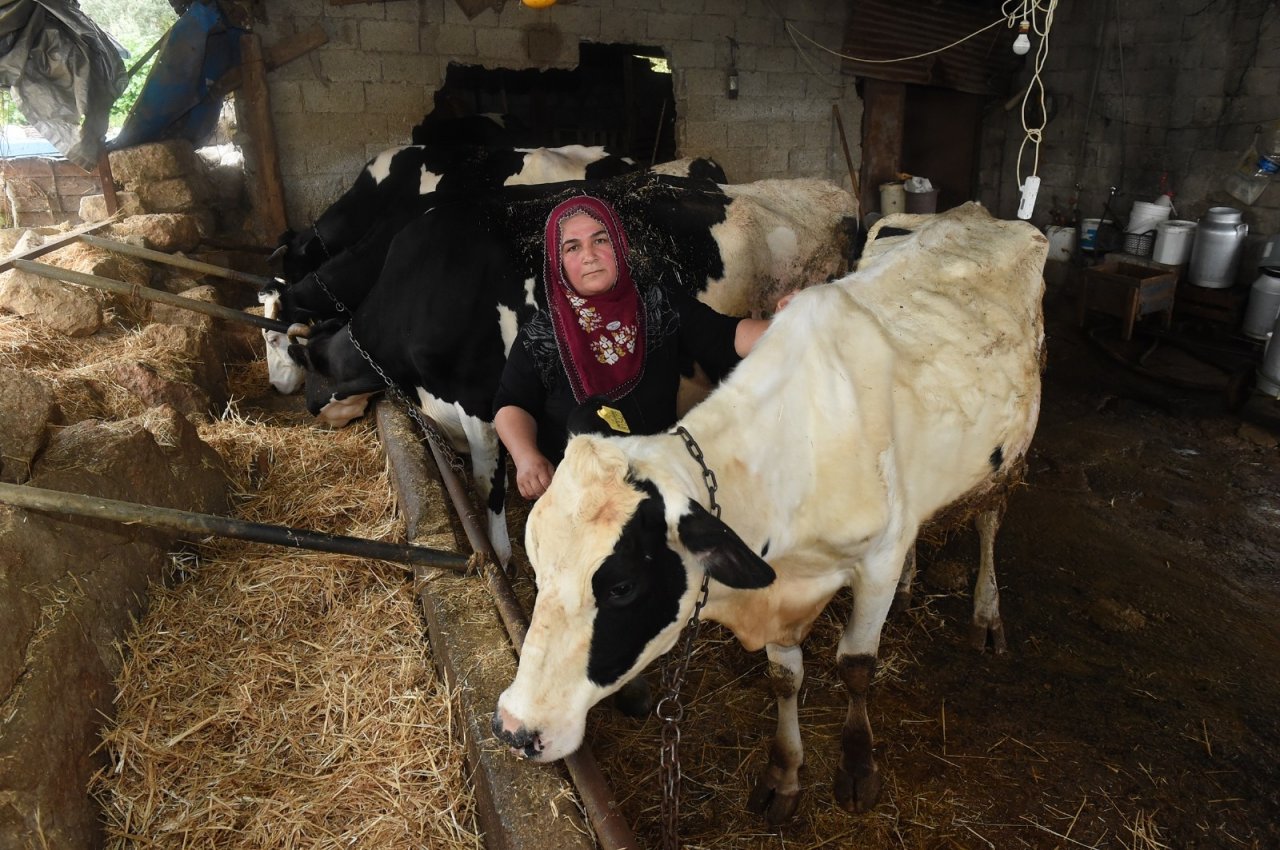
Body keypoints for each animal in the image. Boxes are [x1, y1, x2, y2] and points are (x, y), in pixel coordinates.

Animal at [285, 172, 855, 568]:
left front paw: (500, 558)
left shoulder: (478, 399)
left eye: (307, 366)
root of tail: (825, 193)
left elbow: (490, 483)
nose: (304, 403)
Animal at [491, 200, 1049, 824]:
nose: (513, 727)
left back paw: (986, 614)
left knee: (988, 521)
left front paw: (858, 767)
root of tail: (972, 212)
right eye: (537, 564)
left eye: (621, 588)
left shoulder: (875, 562)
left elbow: (856, 666)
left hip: (1008, 461)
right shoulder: (784, 584)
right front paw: (784, 774)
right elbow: (785, 677)